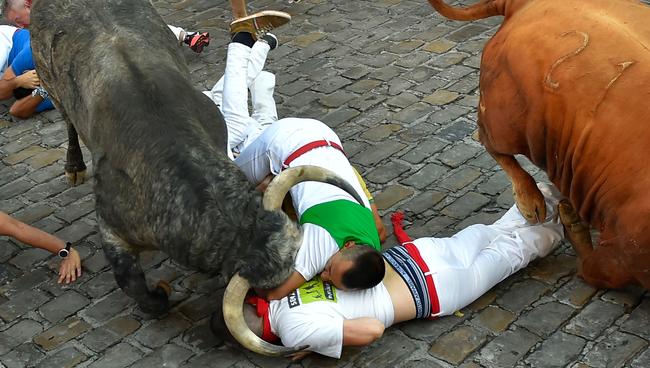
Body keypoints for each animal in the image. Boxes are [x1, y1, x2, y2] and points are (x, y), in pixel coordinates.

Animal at [30, 0, 362, 350]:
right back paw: (74, 168)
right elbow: (132, 283)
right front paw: (159, 294)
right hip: (51, 83)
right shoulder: (113, 226)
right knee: (68, 121)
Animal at [428, 0, 648, 288]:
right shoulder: (625, 251)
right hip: (504, 113)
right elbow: (591, 267)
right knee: (489, 140)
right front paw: (572, 222)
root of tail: (523, 4)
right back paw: (531, 202)